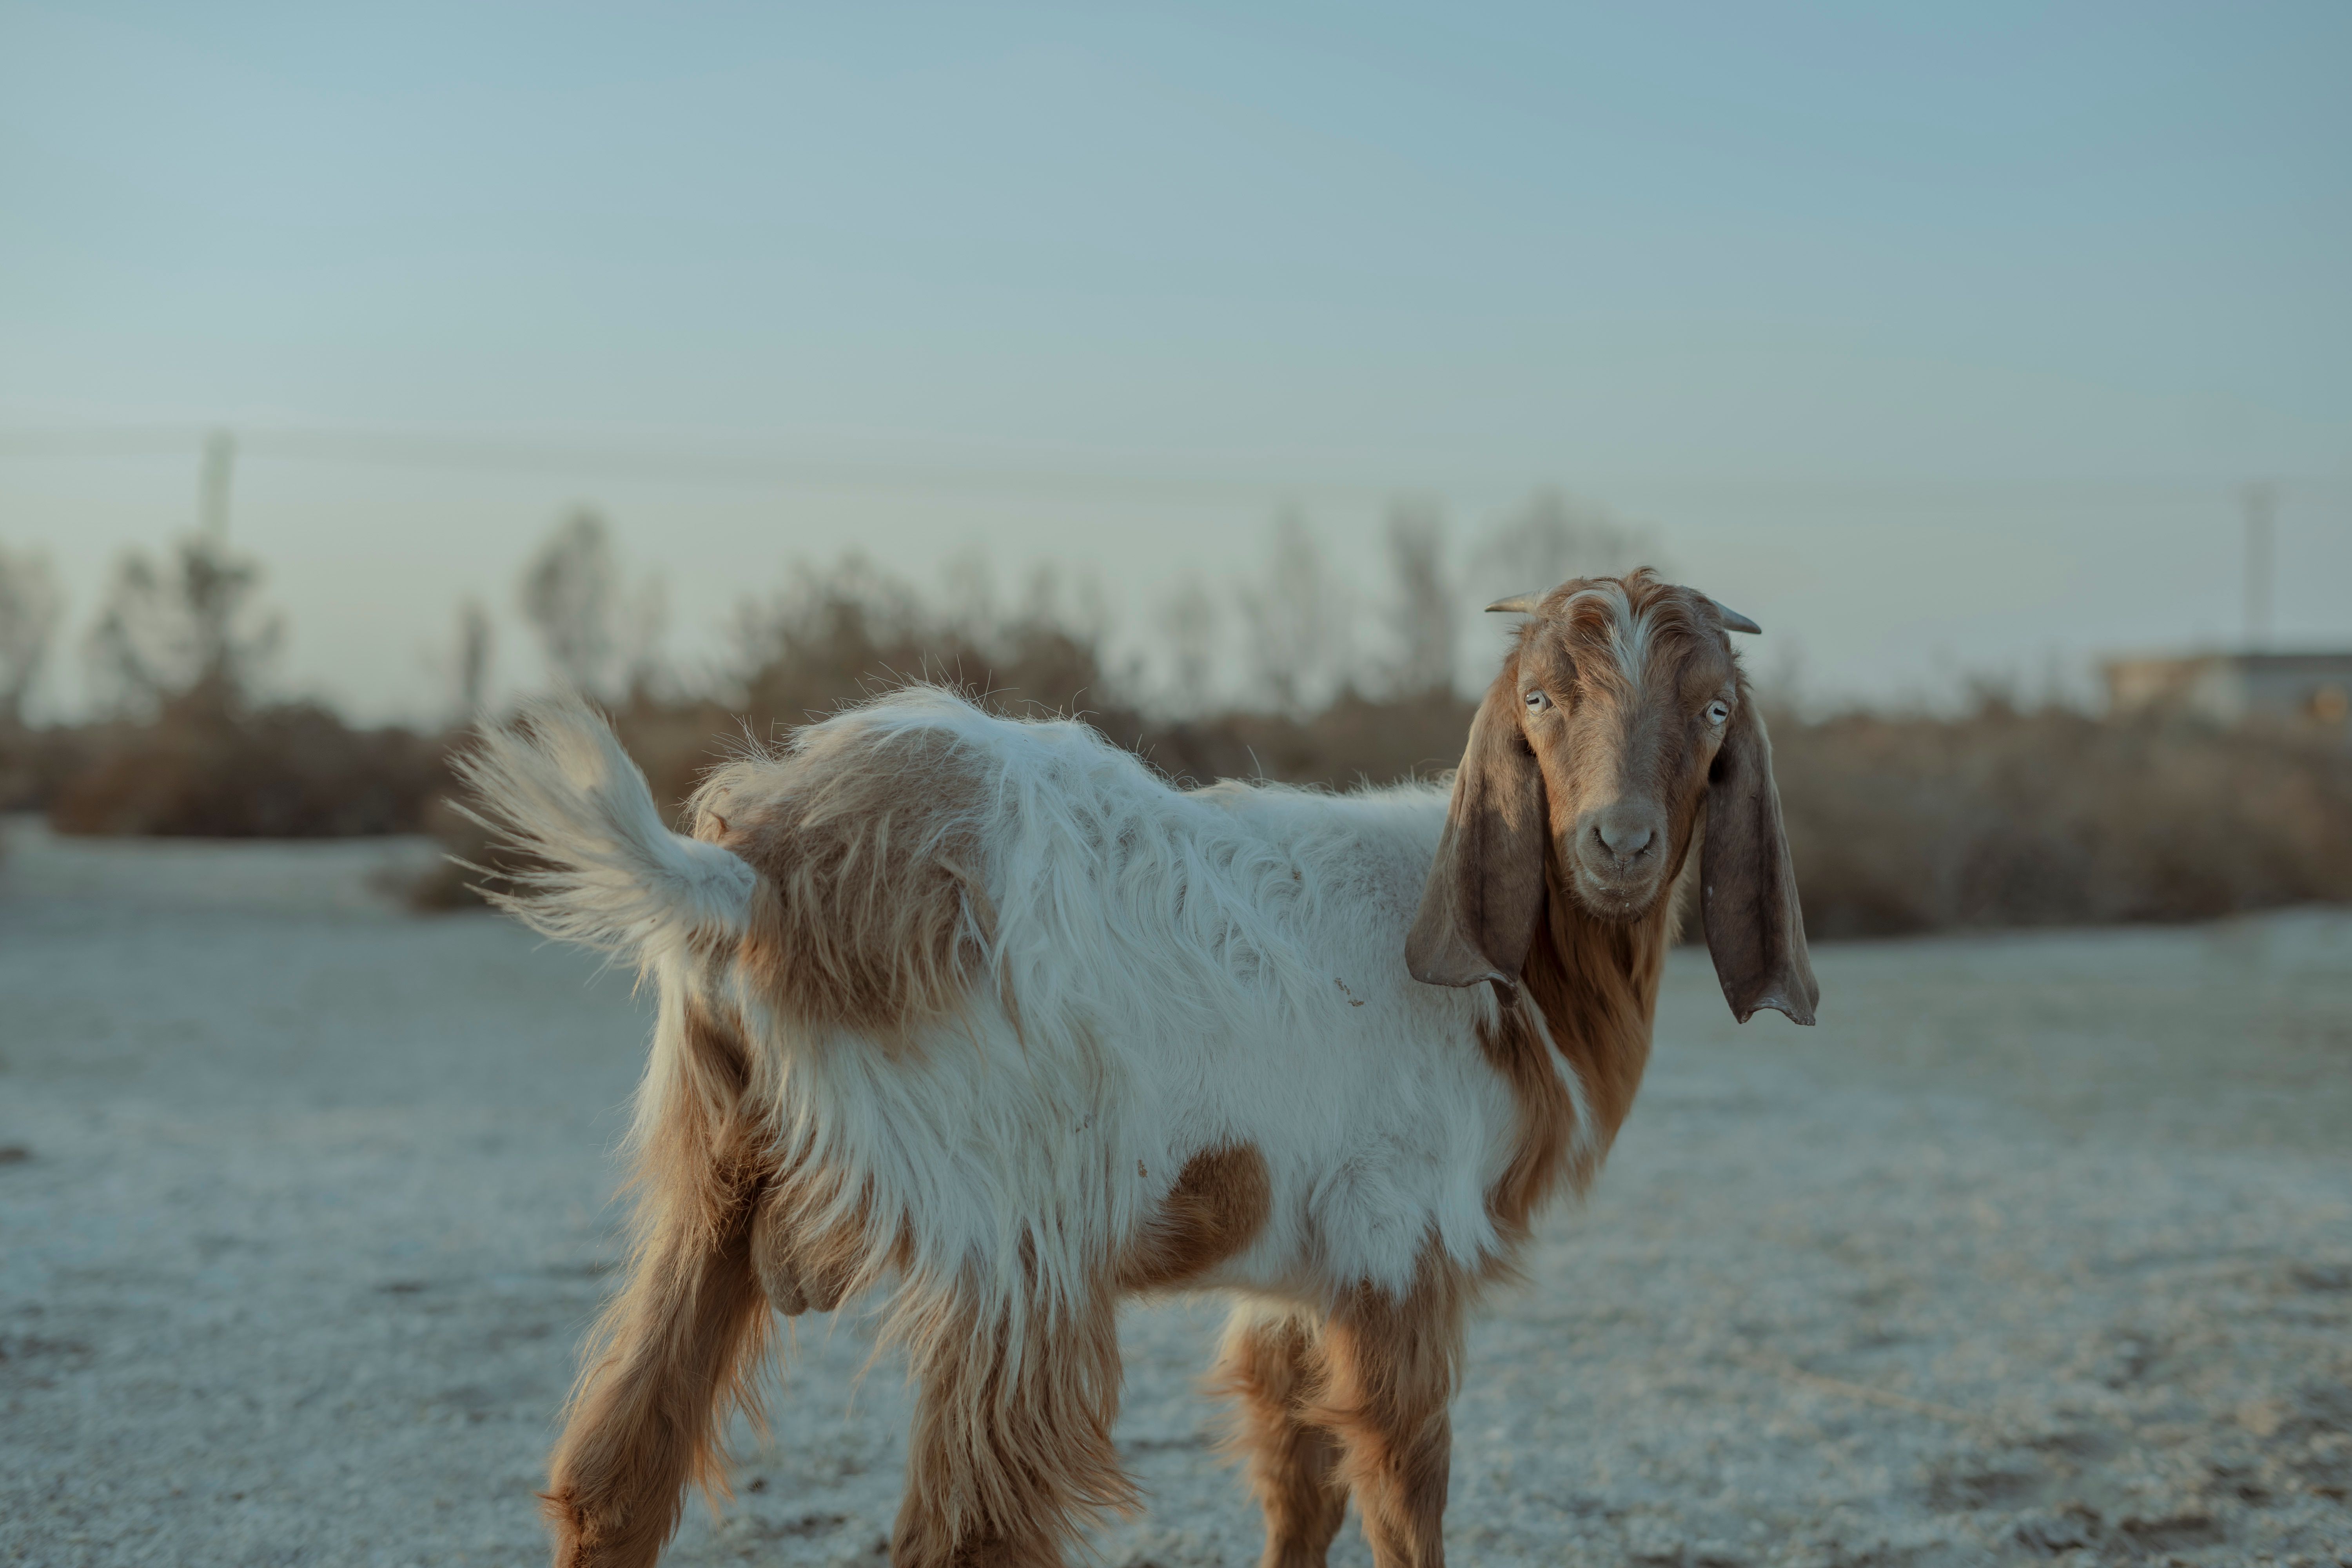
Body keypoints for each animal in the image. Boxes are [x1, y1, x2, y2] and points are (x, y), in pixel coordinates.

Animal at [459, 568, 1817, 1568]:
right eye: (1537, 700)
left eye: (1711, 714)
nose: (1617, 844)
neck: (1505, 968)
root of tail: (758, 868)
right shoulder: (1398, 1242)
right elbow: (1402, 1489)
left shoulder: (1293, 1268)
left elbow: (1296, 1476)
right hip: (1018, 1231)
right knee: (970, 1529)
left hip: (713, 1177)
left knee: (615, 1475)